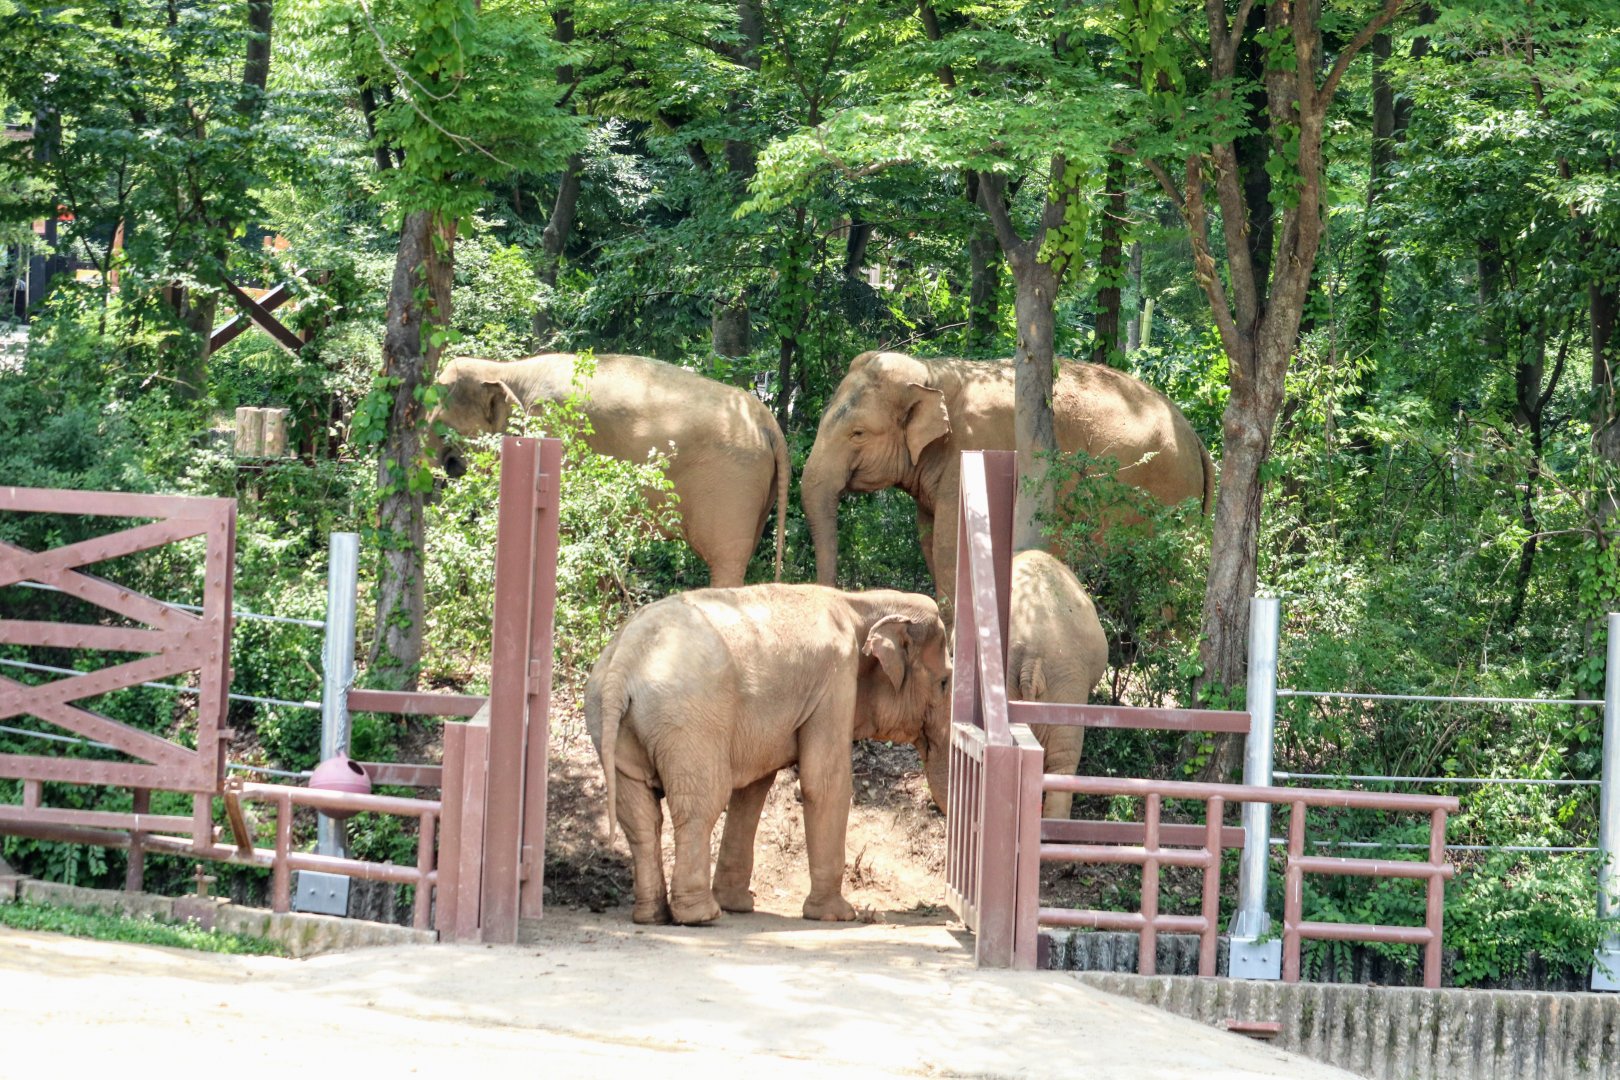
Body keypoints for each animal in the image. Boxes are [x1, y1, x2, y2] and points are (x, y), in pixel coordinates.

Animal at [426, 353, 789, 586]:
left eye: (442, 431)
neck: (507, 370)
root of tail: (768, 422)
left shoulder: (554, 430)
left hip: (732, 485)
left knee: (726, 562)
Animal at [584, 584, 951, 926]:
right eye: (946, 682)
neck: (860, 602)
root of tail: (622, 662)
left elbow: (754, 789)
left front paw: (739, 905)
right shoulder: (836, 679)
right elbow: (823, 782)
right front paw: (838, 916)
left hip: (613, 725)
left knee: (640, 817)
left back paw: (654, 916)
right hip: (686, 721)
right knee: (701, 803)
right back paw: (701, 915)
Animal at [801, 350, 1213, 612]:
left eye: (857, 434)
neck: (931, 374)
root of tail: (1195, 436)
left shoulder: (974, 448)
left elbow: (950, 543)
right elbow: (929, 538)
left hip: (1169, 495)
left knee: (1168, 580)